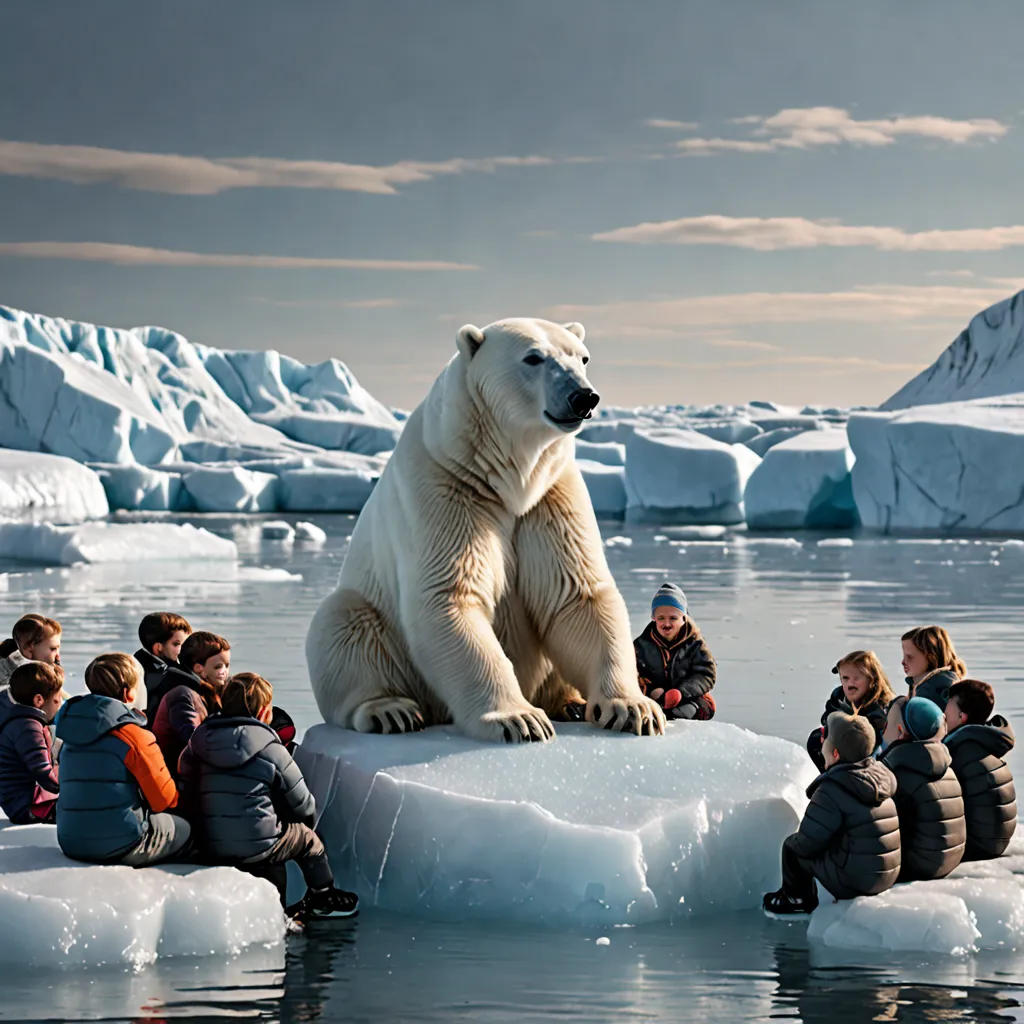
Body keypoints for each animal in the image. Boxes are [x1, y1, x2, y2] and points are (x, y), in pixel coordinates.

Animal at [305, 317, 665, 743]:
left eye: (583, 357)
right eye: (533, 357)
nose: (584, 397)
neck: (505, 479)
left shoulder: (552, 497)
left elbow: (577, 594)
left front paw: (634, 709)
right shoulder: (445, 488)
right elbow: (449, 595)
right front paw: (520, 720)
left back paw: (571, 703)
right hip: (376, 625)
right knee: (342, 625)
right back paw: (389, 710)